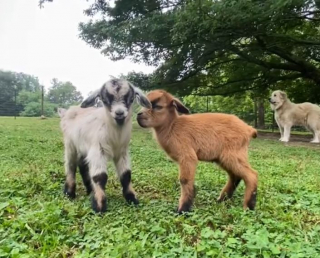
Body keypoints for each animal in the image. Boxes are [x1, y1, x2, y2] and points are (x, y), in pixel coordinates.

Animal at [59, 79, 151, 213]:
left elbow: (126, 175)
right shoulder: (98, 150)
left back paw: (89, 190)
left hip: (84, 148)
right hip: (70, 144)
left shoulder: (122, 152)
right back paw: (69, 193)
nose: (119, 113)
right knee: (71, 166)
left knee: (83, 165)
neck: (115, 136)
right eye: (104, 99)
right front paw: (99, 206)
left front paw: (132, 199)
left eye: (130, 98)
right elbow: (100, 176)